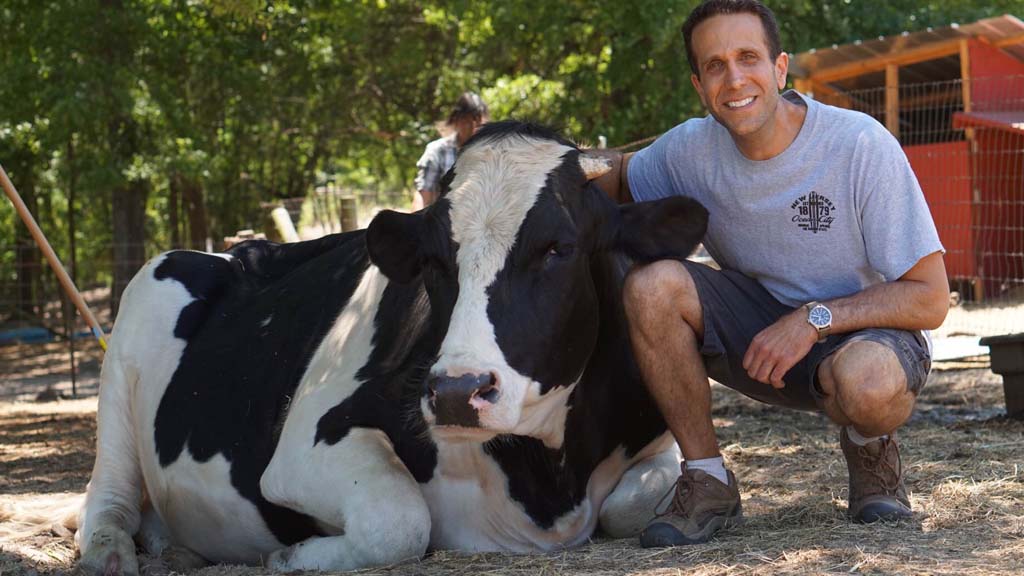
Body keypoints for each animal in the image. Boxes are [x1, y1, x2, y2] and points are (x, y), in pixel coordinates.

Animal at [75, 119, 708, 569]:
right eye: (434, 260)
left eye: (559, 248)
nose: (456, 391)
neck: (546, 482)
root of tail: (236, 252)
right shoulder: (304, 446)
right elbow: (400, 520)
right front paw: (291, 555)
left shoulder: (652, 439)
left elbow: (633, 505)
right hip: (129, 340)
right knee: (109, 493)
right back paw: (111, 553)